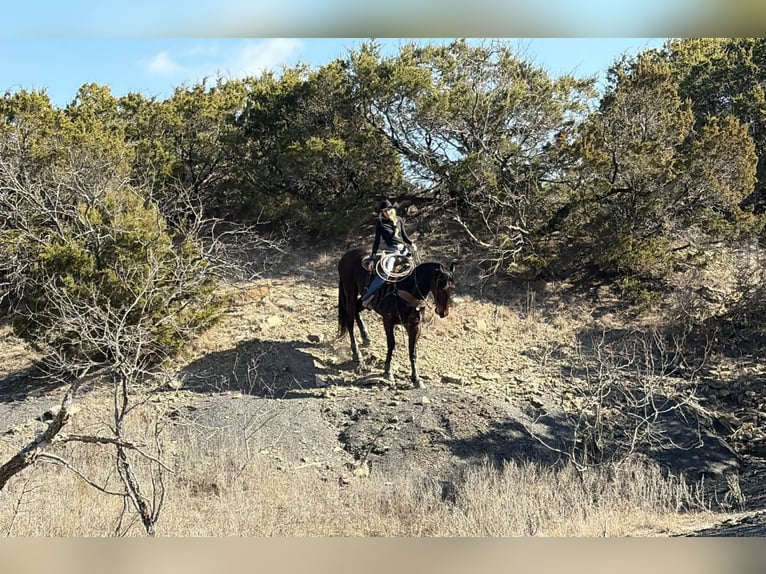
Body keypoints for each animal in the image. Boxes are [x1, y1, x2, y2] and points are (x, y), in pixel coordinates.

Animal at [337, 246, 455, 388]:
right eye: (441, 286)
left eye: (452, 288)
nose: (443, 312)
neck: (408, 289)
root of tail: (346, 255)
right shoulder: (388, 320)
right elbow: (391, 344)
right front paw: (388, 372)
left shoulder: (415, 325)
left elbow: (412, 350)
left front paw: (416, 378)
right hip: (350, 293)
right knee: (350, 320)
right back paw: (357, 353)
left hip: (362, 299)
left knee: (356, 311)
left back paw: (366, 337)